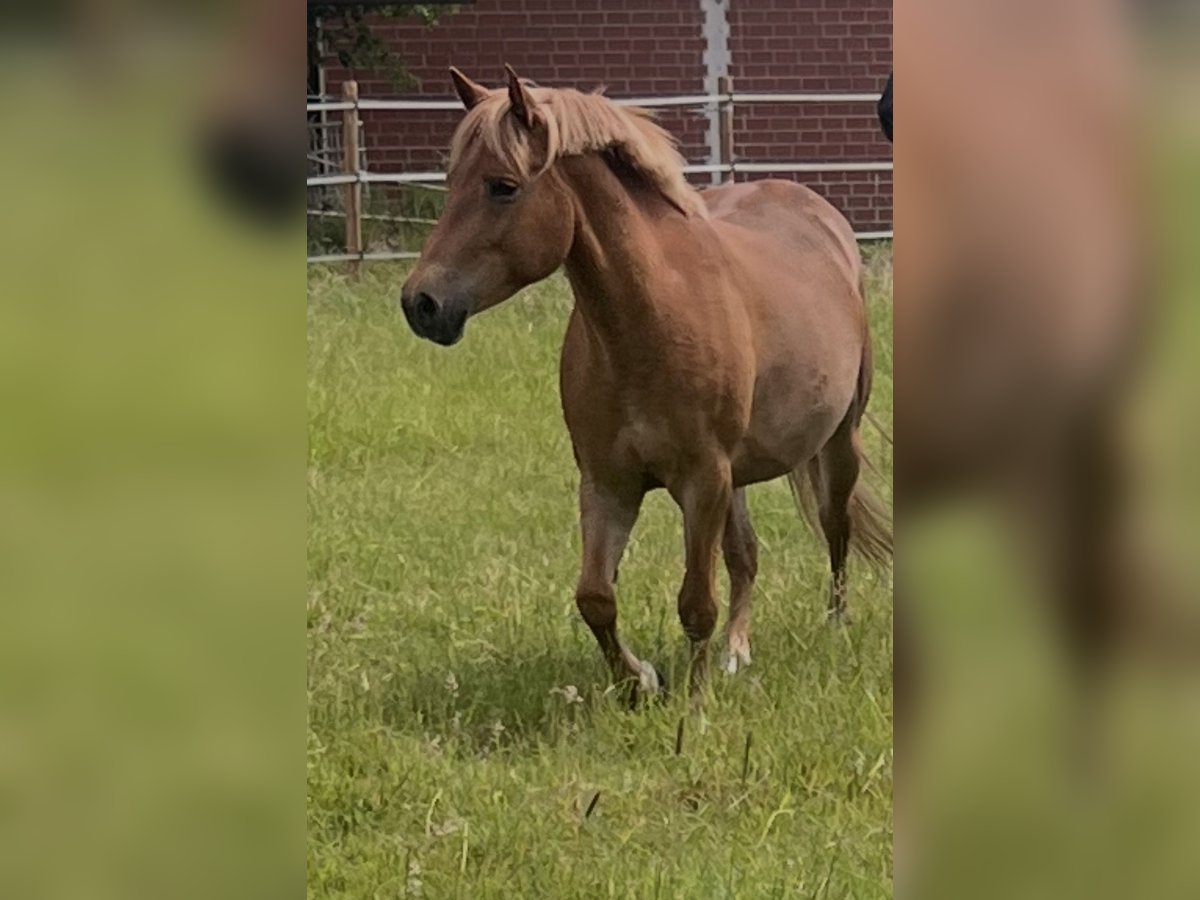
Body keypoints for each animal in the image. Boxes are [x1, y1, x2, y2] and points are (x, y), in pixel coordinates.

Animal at [400, 66, 891, 700]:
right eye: (451, 179)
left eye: (502, 186)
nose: (421, 303)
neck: (648, 321)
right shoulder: (608, 483)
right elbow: (595, 597)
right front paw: (639, 681)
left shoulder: (702, 480)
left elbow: (695, 602)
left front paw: (696, 700)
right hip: (737, 476)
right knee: (745, 556)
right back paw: (737, 651)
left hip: (835, 444)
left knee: (835, 529)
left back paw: (833, 627)